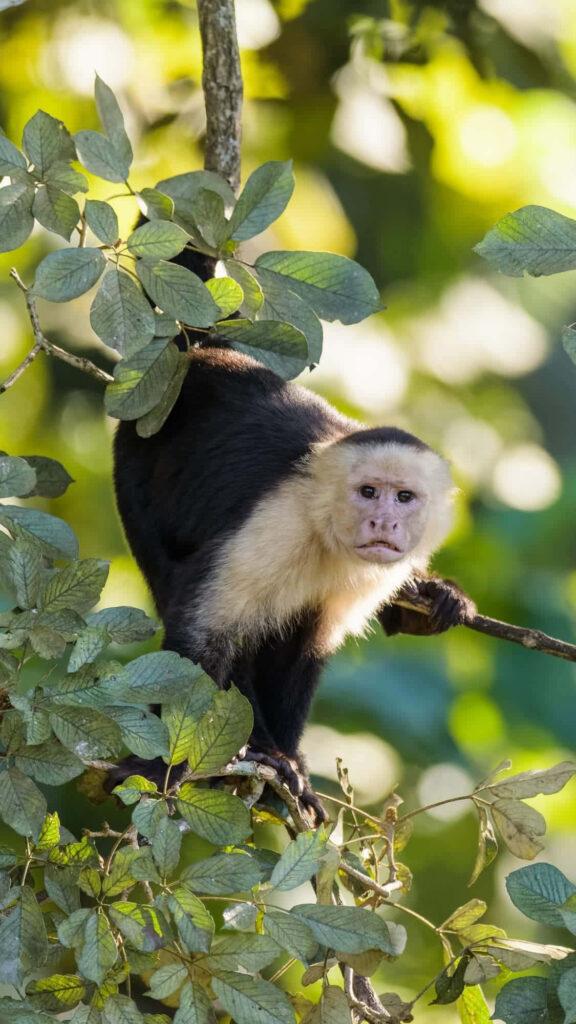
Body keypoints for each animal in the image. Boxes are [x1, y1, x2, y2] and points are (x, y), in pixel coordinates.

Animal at [110, 343, 475, 821]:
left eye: (404, 497)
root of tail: (199, 353)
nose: (384, 523)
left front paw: (288, 759)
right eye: (368, 492)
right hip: (136, 457)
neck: (325, 531)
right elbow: (203, 636)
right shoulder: (279, 521)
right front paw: (163, 766)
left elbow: (305, 648)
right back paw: (257, 749)